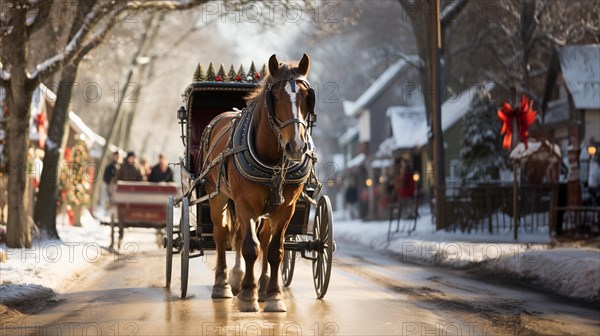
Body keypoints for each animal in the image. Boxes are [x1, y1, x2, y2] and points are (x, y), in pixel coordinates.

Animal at [200, 53, 316, 312]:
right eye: (275, 97)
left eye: (307, 97)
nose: (296, 146)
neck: (273, 163)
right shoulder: (245, 204)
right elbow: (249, 247)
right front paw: (247, 295)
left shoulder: (286, 208)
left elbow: (274, 250)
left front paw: (273, 296)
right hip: (217, 195)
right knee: (222, 234)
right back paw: (224, 284)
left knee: (261, 239)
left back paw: (260, 286)